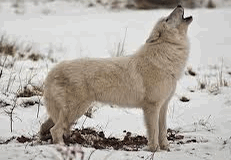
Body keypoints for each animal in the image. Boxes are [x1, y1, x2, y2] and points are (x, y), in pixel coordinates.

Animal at [40, 5, 193, 152]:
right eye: (167, 19)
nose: (179, 4)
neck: (165, 56)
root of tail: (53, 70)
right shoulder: (152, 107)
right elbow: (154, 131)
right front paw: (154, 149)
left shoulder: (163, 106)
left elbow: (163, 130)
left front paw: (166, 147)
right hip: (76, 110)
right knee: (55, 130)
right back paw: (62, 147)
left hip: (68, 112)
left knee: (45, 126)